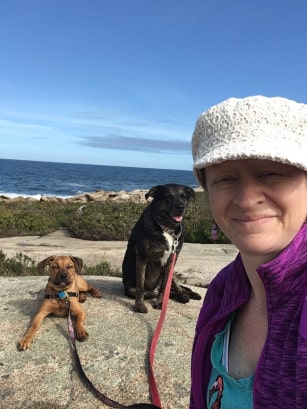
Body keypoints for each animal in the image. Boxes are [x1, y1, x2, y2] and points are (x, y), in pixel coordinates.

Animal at [122, 182, 202, 312]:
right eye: (168, 197)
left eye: (183, 196)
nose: (181, 207)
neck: (167, 228)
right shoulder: (142, 257)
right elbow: (141, 286)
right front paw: (139, 305)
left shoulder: (171, 260)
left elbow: (164, 287)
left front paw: (160, 303)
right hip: (131, 289)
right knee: (157, 292)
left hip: (173, 274)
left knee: (178, 289)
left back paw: (186, 295)